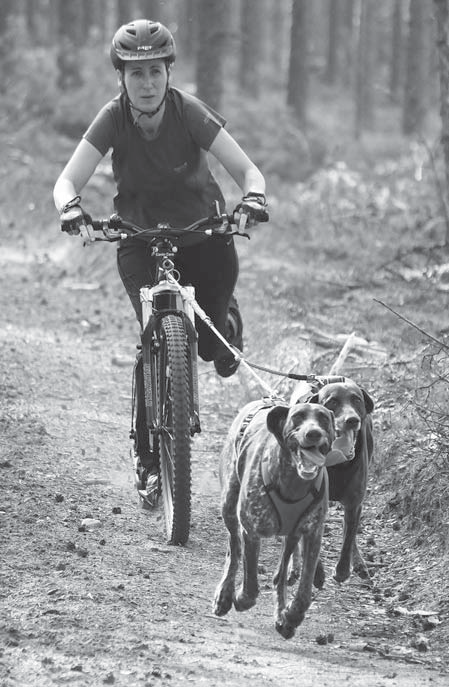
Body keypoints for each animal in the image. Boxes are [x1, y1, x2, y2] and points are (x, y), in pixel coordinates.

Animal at [212, 400, 334, 644]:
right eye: (298, 417)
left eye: (324, 418)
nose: (314, 433)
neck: (293, 483)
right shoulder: (251, 531)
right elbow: (250, 584)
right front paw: (240, 598)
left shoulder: (312, 534)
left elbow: (304, 591)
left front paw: (291, 615)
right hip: (229, 506)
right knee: (234, 550)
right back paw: (225, 594)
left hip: (291, 536)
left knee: (281, 574)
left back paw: (282, 616)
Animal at [288, 376, 372, 584]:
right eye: (332, 402)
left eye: (356, 399)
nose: (352, 420)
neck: (336, 461)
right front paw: (316, 572)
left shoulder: (354, 502)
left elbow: (348, 536)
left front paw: (342, 570)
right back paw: (294, 567)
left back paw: (358, 562)